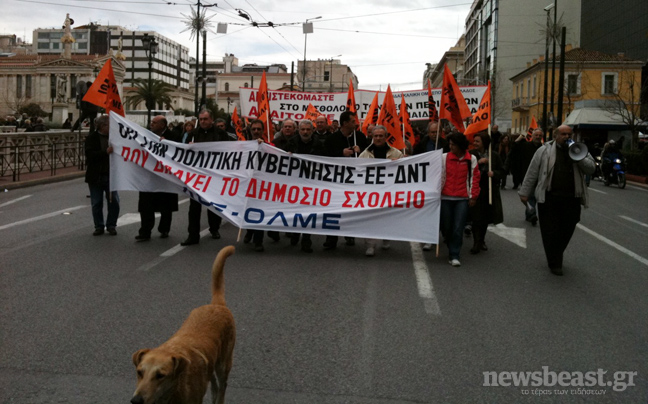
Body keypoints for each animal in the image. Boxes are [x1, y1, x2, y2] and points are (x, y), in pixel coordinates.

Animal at [131, 245, 235, 402]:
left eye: (160, 375)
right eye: (139, 372)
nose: (136, 400)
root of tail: (216, 304)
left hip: (223, 364)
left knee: (222, 386)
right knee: (214, 385)